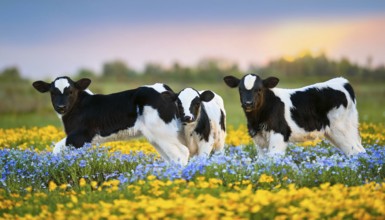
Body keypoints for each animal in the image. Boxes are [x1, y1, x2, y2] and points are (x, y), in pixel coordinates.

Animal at [32, 76, 189, 164]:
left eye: (70, 91)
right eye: (52, 93)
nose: (61, 107)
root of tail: (164, 89)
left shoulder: (79, 136)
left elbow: (56, 149)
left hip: (163, 132)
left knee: (181, 153)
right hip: (157, 137)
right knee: (170, 158)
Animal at [224, 75, 364, 157]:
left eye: (259, 89)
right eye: (240, 89)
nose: (248, 103)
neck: (257, 120)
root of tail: (342, 81)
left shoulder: (279, 134)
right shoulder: (259, 138)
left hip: (341, 129)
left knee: (356, 151)